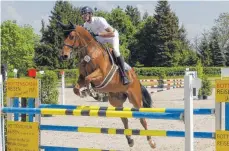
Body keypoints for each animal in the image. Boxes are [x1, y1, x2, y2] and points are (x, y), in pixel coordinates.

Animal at [58, 21, 157, 149]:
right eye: (64, 36)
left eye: (71, 36)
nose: (63, 56)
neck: (90, 53)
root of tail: (136, 79)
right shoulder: (82, 76)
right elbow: (77, 87)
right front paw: (86, 93)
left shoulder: (101, 75)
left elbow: (89, 79)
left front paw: (92, 92)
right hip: (116, 100)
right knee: (124, 118)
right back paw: (130, 140)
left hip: (135, 99)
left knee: (142, 119)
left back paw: (151, 142)